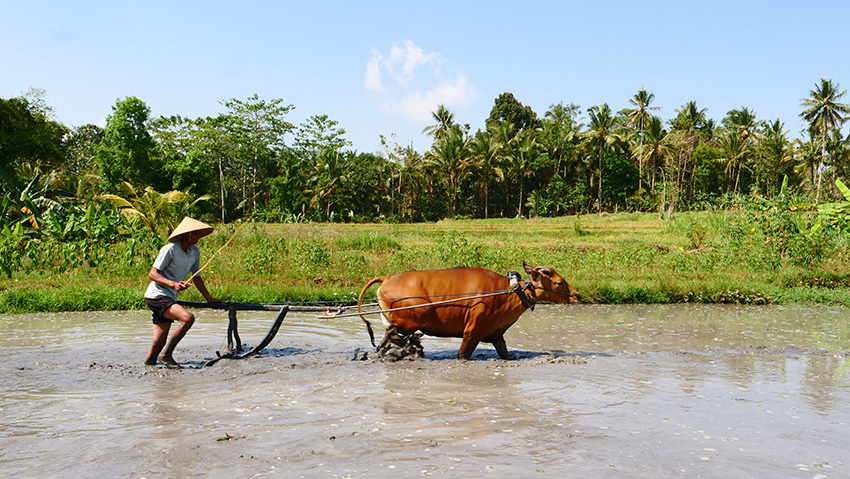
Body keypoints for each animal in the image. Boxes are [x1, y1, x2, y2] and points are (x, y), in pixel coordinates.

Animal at [354, 262, 580, 360]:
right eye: (559, 282)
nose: (577, 295)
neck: (505, 292)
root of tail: (388, 278)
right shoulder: (472, 332)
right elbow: (463, 354)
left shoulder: (497, 335)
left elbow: (504, 352)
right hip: (412, 320)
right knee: (392, 336)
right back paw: (411, 348)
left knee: (383, 343)